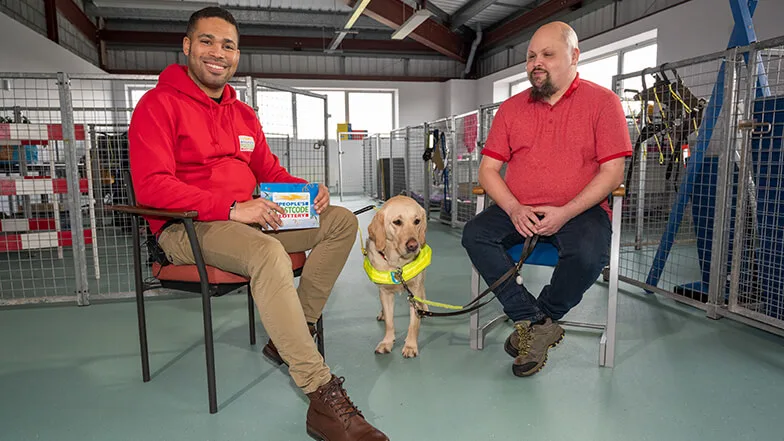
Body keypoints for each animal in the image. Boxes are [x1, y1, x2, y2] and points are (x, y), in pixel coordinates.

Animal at [366, 196, 428, 358]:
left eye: (417, 221)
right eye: (397, 222)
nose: (413, 245)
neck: (398, 264)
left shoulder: (414, 291)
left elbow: (413, 323)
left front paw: (411, 346)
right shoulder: (385, 293)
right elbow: (389, 322)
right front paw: (387, 342)